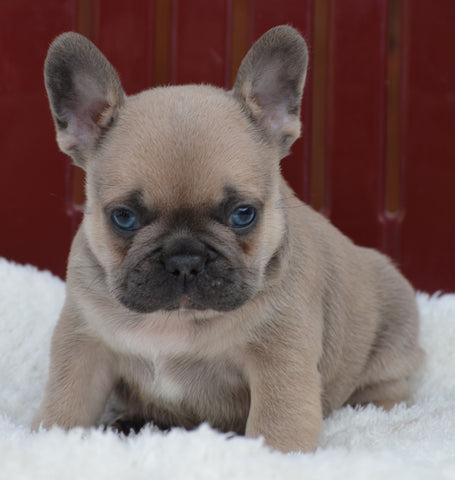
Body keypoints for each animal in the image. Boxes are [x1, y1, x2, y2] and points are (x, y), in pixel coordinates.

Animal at [32, 26, 424, 454]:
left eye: (243, 214)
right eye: (124, 217)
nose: (184, 259)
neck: (178, 320)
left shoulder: (280, 360)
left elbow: (277, 423)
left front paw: (273, 457)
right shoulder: (84, 344)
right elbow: (66, 404)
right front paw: (50, 441)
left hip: (392, 340)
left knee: (385, 390)